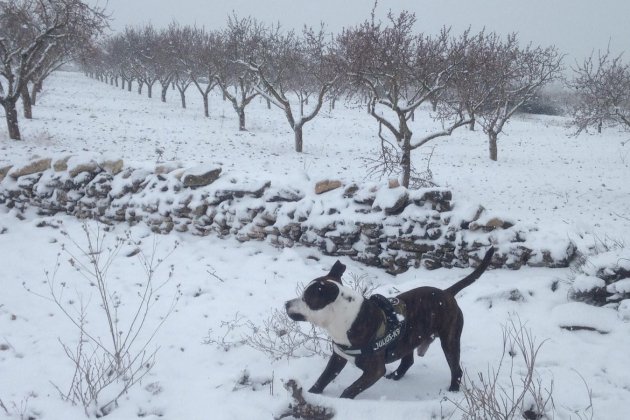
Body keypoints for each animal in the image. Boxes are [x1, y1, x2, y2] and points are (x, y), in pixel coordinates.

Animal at [286, 248, 498, 398]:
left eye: (306, 298)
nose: (286, 303)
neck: (343, 318)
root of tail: (447, 293)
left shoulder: (374, 370)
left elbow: (350, 389)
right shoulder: (338, 357)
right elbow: (323, 379)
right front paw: (312, 395)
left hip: (450, 340)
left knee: (456, 368)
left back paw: (453, 389)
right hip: (409, 336)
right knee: (408, 360)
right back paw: (396, 376)